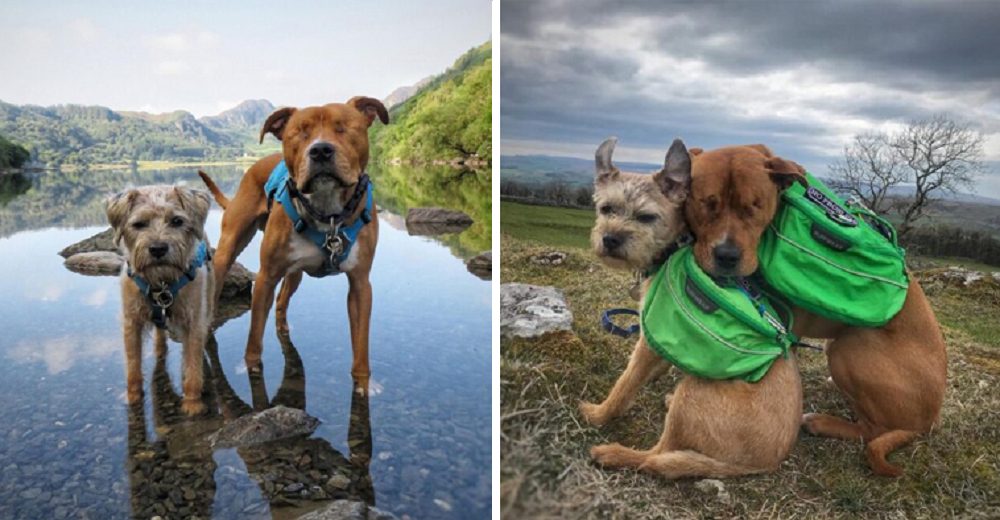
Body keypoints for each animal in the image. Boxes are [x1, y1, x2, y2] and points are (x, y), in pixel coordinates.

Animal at [106, 185, 214, 416]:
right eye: (139, 224)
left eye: (177, 221)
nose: (158, 248)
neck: (161, 283)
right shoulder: (131, 323)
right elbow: (133, 365)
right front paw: (132, 398)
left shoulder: (193, 323)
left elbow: (193, 365)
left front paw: (192, 403)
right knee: (160, 336)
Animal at [197, 97, 388, 390]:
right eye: (299, 132)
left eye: (343, 127)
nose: (320, 150)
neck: (328, 215)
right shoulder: (265, 277)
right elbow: (254, 338)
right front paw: (251, 367)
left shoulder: (360, 284)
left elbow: (361, 345)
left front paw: (363, 383)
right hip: (228, 249)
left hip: (295, 273)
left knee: (282, 300)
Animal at [580, 139, 804, 480]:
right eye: (606, 208)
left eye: (647, 217)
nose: (610, 239)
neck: (675, 247)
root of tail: (762, 463)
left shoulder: (648, 339)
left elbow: (625, 384)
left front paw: (599, 414)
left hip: (694, 392)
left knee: (657, 457)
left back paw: (615, 453)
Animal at [680, 142, 944, 476]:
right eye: (706, 203)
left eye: (755, 206)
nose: (727, 256)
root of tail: (928, 421)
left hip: (850, 347)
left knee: (873, 429)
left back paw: (822, 423)